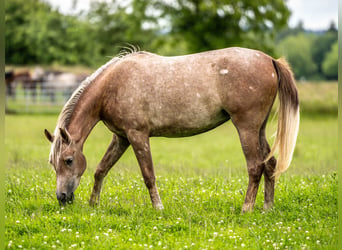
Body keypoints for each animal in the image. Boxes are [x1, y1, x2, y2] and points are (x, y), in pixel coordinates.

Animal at [44, 47, 300, 212]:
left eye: (68, 160)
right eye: (52, 163)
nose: (62, 198)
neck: (112, 85)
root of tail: (270, 60)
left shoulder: (137, 135)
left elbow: (148, 175)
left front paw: (158, 208)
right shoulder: (121, 138)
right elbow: (101, 169)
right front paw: (93, 204)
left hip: (246, 127)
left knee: (255, 166)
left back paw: (246, 209)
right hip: (259, 129)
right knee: (270, 163)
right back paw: (267, 208)